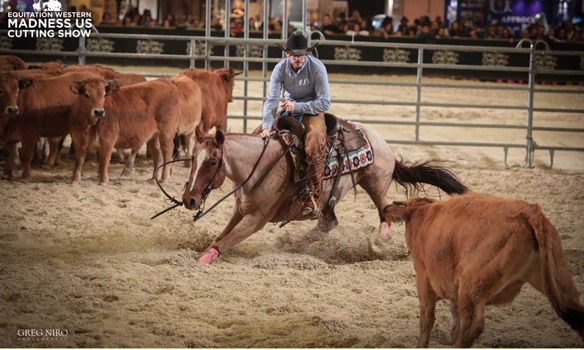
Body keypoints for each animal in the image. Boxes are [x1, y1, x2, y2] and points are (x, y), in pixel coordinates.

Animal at [182, 127, 470, 264]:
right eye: (193, 158)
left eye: (212, 162)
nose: (189, 199)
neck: (258, 166)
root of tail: (383, 143)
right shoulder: (240, 210)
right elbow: (222, 235)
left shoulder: (257, 219)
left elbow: (228, 240)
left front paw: (201, 260)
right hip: (329, 201)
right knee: (329, 223)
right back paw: (295, 243)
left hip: (375, 182)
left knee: (385, 213)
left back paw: (379, 245)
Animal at [384, 194, 584, 348]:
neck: (424, 214)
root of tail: (530, 212)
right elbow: (454, 314)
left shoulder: (424, 278)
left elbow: (426, 319)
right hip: (559, 282)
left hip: (471, 287)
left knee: (473, 327)